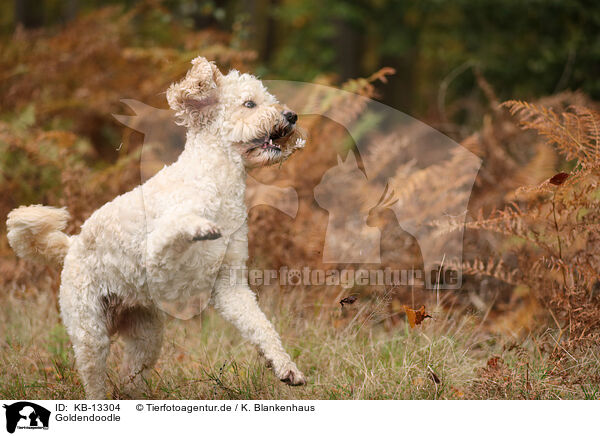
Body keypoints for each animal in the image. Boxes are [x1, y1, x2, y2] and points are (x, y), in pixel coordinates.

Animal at [8, 57, 310, 398]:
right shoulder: (156, 256)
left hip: (146, 335)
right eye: (249, 103)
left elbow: (261, 325)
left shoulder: (229, 284)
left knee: (131, 377)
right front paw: (199, 225)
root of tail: (71, 245)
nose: (291, 115)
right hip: (89, 332)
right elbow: (174, 229)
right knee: (94, 379)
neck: (214, 180)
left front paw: (285, 367)